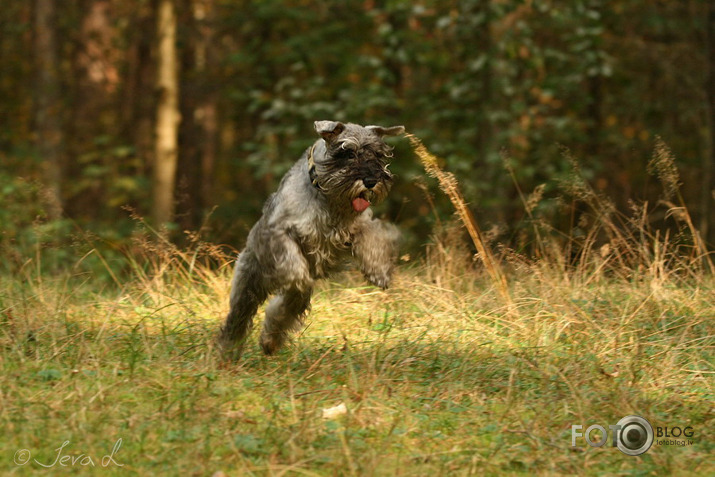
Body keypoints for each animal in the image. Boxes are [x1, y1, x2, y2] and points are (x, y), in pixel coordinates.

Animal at [218, 121, 402, 358]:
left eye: (378, 154)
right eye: (348, 153)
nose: (371, 180)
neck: (326, 194)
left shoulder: (359, 227)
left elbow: (373, 241)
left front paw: (379, 272)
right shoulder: (279, 232)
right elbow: (292, 262)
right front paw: (298, 276)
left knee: (282, 310)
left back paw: (270, 342)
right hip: (249, 283)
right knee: (240, 317)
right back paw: (228, 351)